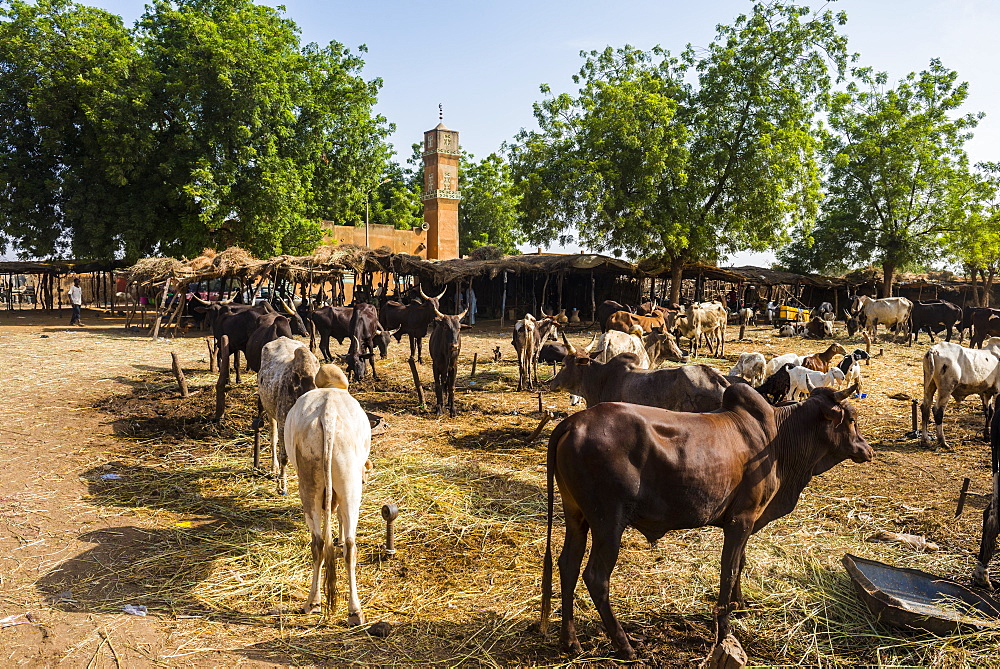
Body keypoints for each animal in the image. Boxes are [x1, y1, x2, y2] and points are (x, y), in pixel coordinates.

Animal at [286, 384, 372, 624]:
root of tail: (328, 412)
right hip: (350, 484)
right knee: (350, 545)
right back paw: (354, 610)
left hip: (312, 485)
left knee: (318, 543)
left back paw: (314, 602)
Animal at [536, 380, 872, 656]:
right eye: (852, 419)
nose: (867, 450)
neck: (778, 439)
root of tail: (573, 422)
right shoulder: (741, 520)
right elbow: (729, 570)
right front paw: (724, 629)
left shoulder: (746, 520)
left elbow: (740, 563)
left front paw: (740, 605)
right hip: (609, 521)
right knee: (595, 576)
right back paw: (624, 645)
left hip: (576, 515)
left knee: (567, 565)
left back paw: (571, 640)